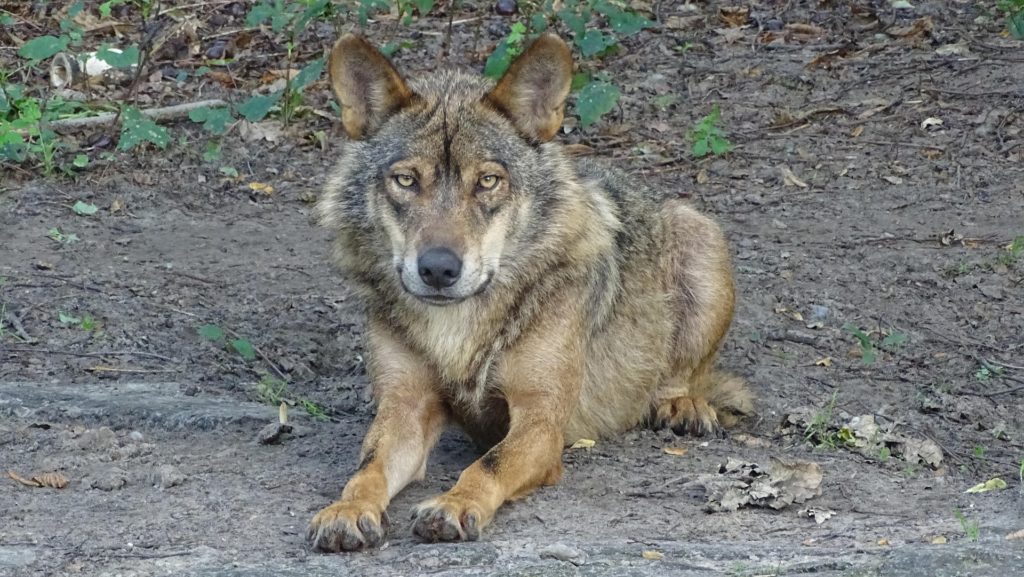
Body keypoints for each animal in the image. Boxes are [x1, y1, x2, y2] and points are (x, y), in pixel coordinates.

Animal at [307, 32, 752, 551]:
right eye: (406, 180)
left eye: (487, 181)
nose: (438, 268)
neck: (458, 328)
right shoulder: (404, 408)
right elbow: (368, 467)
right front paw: (347, 510)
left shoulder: (541, 420)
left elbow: (488, 465)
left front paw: (454, 504)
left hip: (701, 237)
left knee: (684, 375)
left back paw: (680, 405)